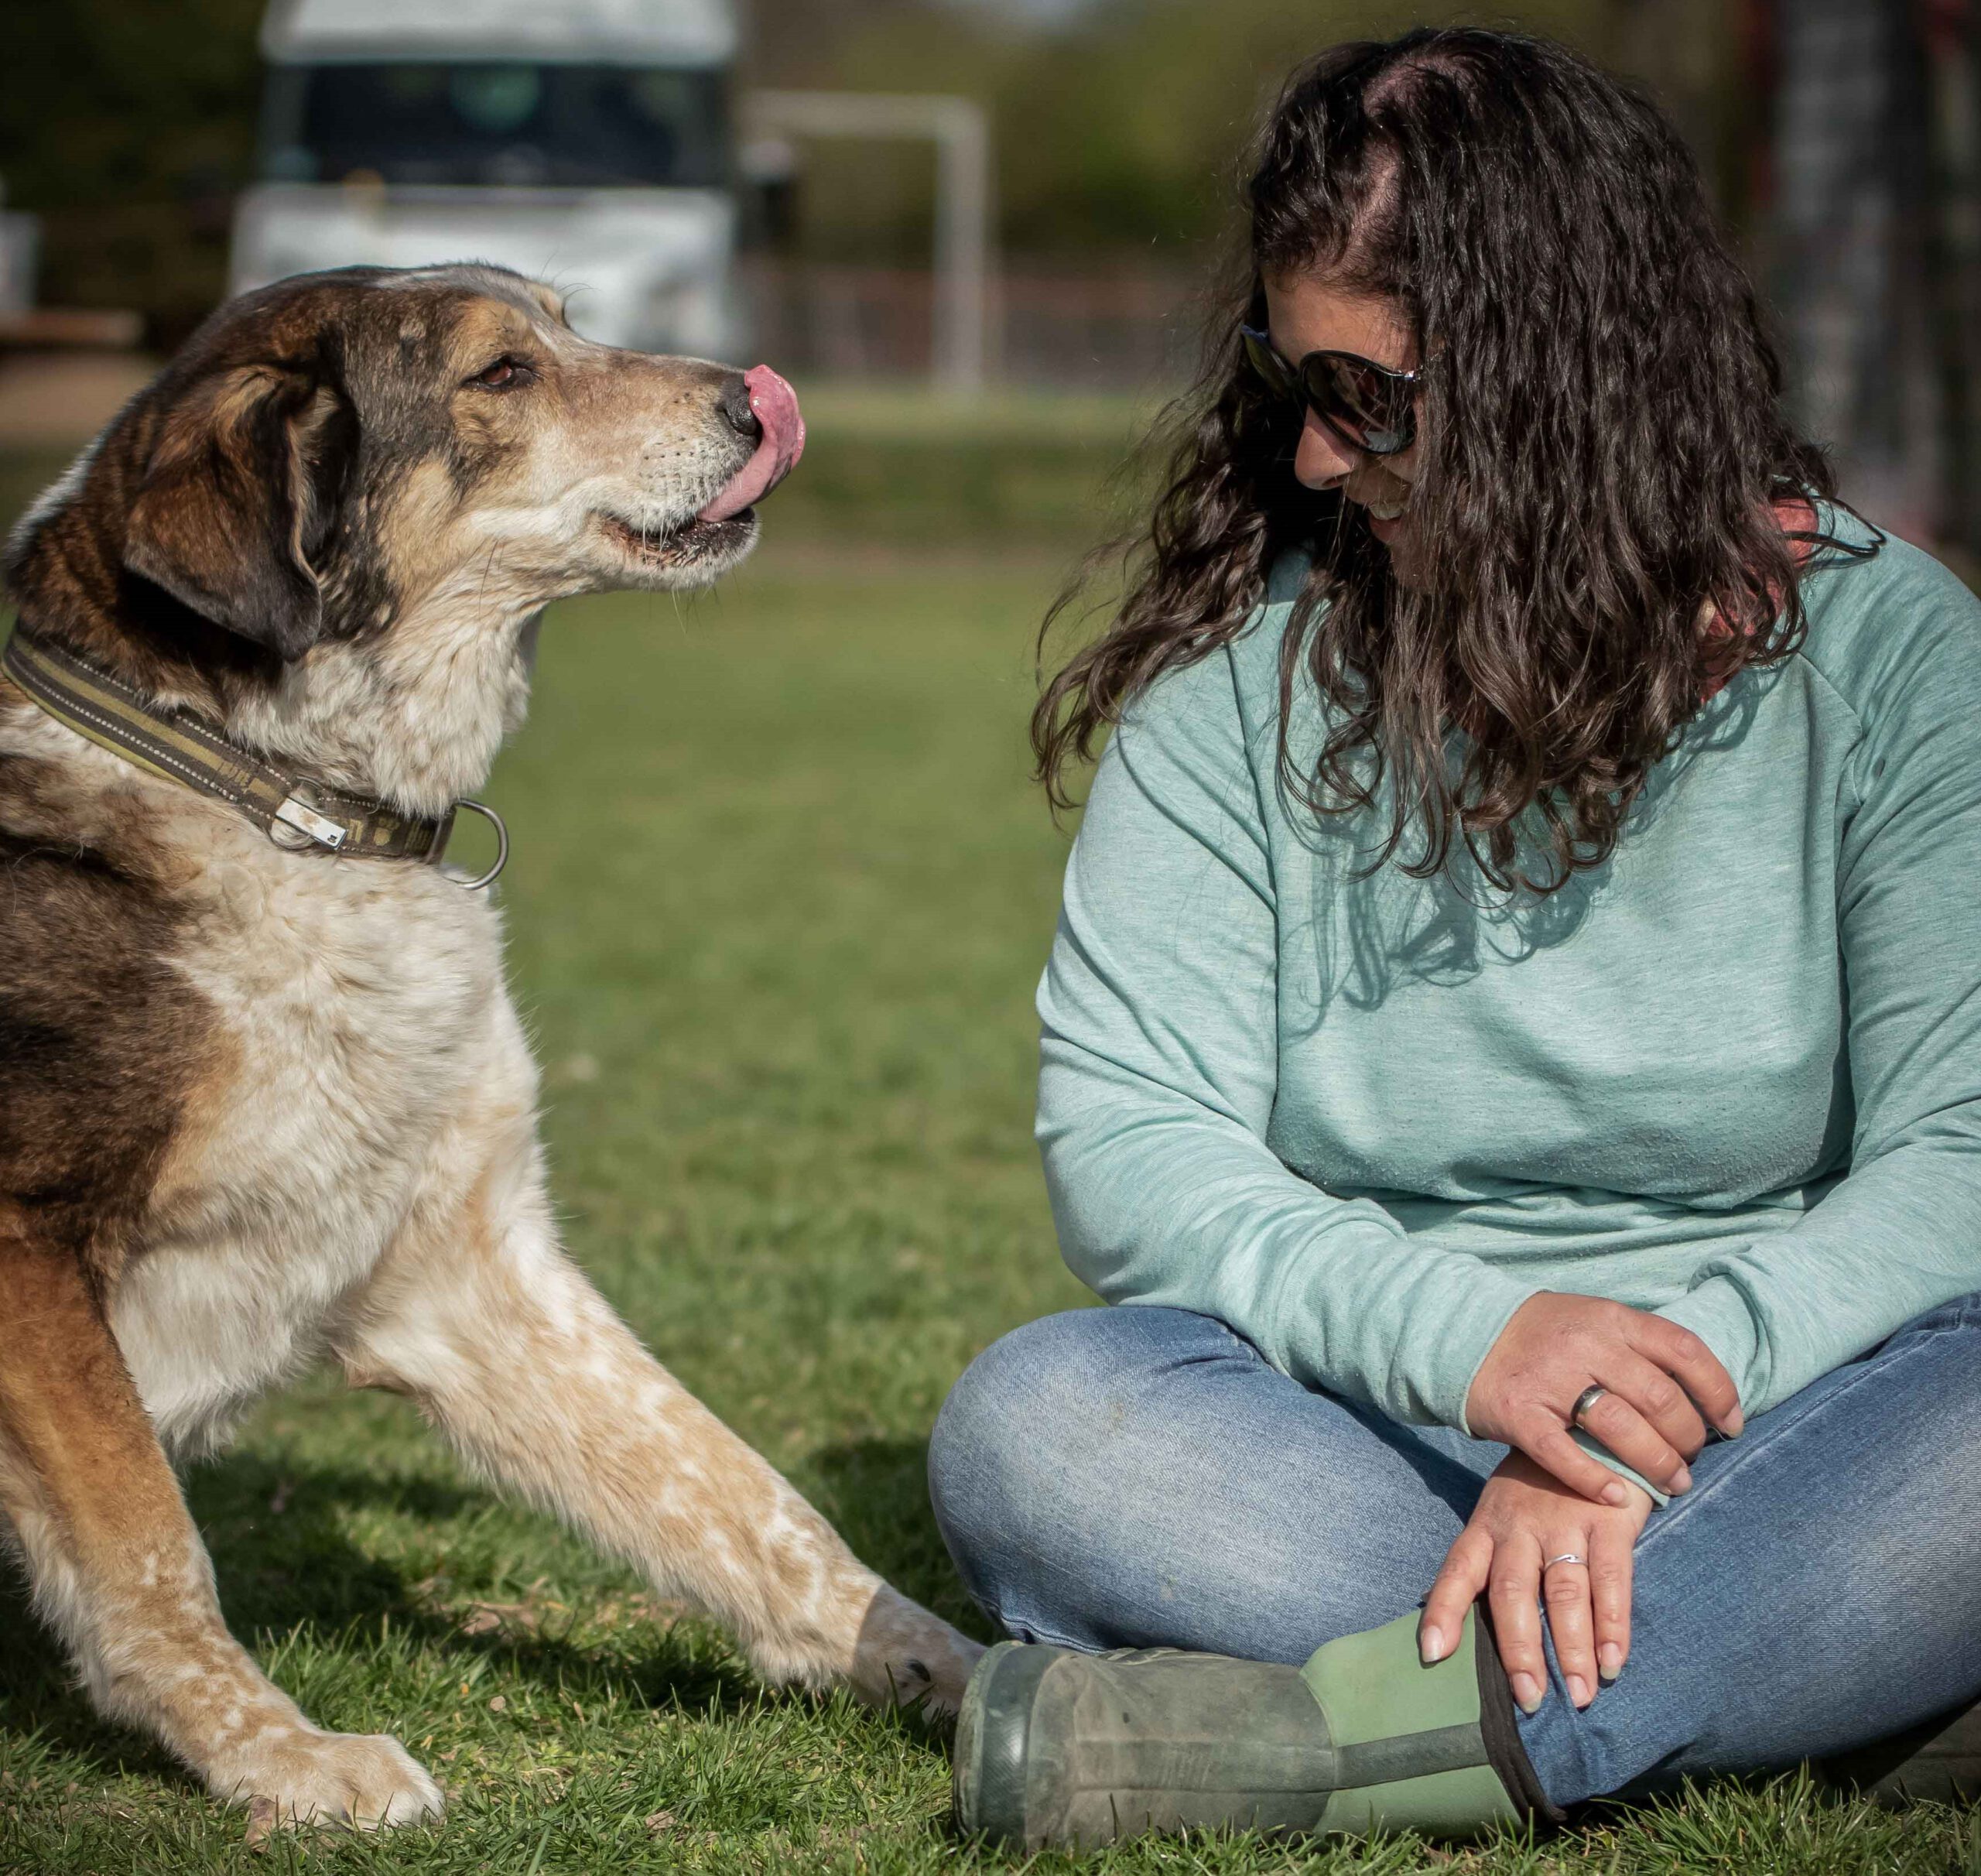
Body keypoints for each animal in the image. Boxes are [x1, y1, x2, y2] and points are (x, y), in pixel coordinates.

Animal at [0, 267, 982, 1830]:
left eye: (568, 321)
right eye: (503, 371)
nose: (753, 396)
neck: (287, 801)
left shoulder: (471, 1269)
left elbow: (750, 1499)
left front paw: (970, 1671)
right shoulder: (27, 1252)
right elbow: (151, 1548)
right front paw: (291, 1759)